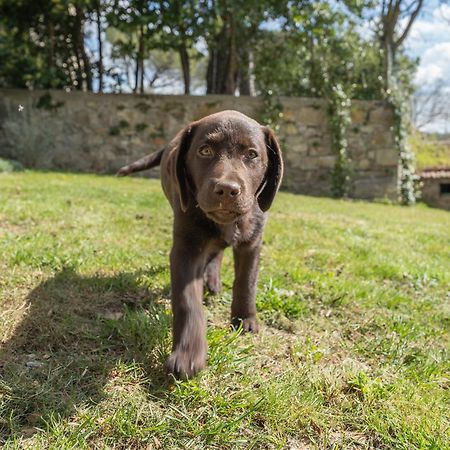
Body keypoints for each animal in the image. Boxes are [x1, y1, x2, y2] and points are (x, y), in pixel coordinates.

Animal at [118, 110, 284, 378]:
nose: (226, 189)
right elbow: (187, 301)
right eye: (205, 151)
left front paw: (244, 320)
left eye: (251, 154)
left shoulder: (252, 242)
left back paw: (213, 281)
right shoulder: (187, 248)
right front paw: (188, 354)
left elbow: (246, 281)